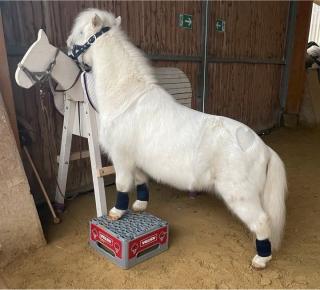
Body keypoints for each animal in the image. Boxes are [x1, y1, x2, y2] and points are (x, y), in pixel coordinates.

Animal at [67, 8, 288, 268]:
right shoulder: (135, 160)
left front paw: (116, 213)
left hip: (240, 195)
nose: (68, 47)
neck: (127, 98)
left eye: (81, 32)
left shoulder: (121, 158)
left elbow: (122, 185)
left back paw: (261, 259)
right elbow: (141, 181)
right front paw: (140, 206)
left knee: (262, 220)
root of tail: (263, 147)